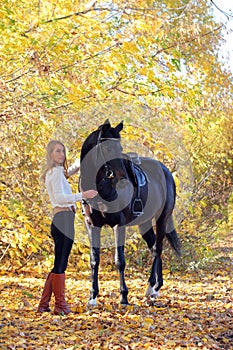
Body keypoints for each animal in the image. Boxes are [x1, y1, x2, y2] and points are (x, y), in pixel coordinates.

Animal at [79, 119, 181, 304]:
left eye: (119, 147)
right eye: (108, 148)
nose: (123, 178)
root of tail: (166, 171)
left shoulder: (119, 225)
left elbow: (120, 261)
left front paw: (123, 297)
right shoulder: (92, 224)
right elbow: (94, 260)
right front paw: (93, 297)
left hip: (162, 219)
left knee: (157, 248)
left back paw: (152, 288)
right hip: (144, 223)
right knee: (153, 246)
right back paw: (155, 287)